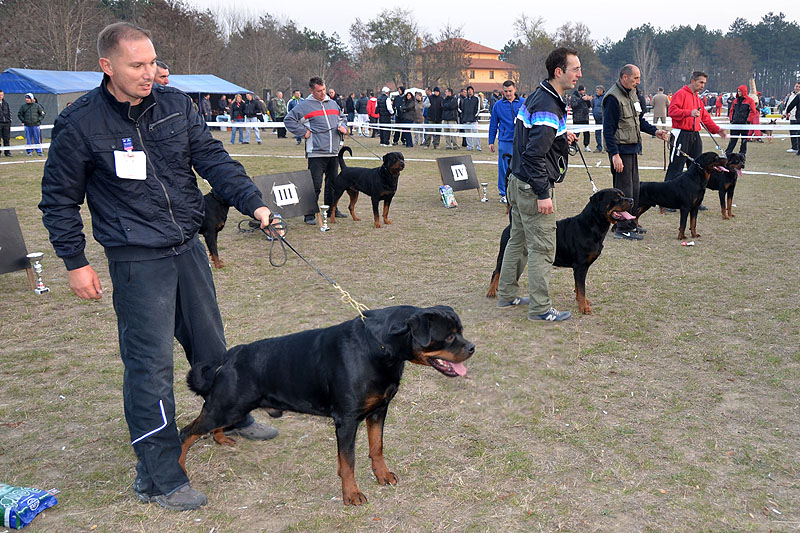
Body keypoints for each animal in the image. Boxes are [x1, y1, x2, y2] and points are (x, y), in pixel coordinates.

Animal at [178, 306, 472, 504]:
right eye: (448, 337)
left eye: (461, 331)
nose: (472, 348)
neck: (379, 348)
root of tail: (230, 356)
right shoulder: (347, 420)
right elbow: (349, 460)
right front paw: (352, 494)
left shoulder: (379, 411)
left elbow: (376, 447)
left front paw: (382, 475)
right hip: (227, 406)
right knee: (187, 432)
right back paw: (180, 468)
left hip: (230, 408)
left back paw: (220, 439)